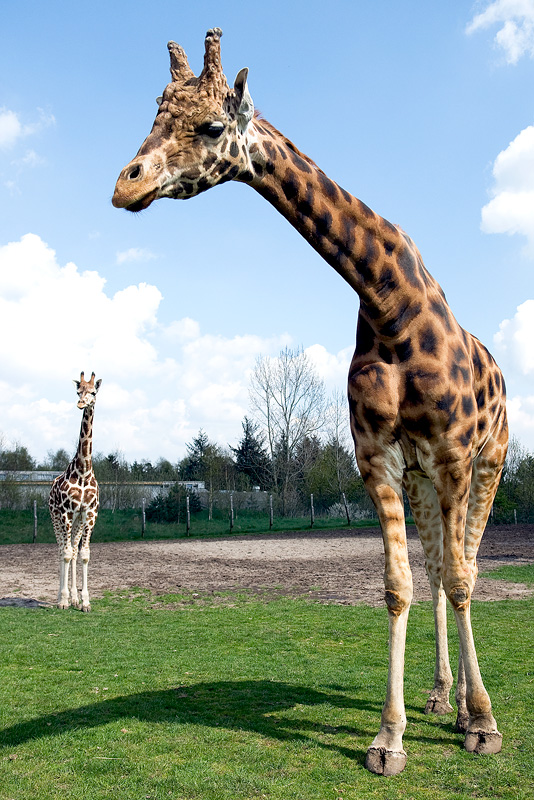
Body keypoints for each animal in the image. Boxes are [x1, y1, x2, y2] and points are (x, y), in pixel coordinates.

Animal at [111, 31, 508, 776]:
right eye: (154, 115)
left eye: (212, 126)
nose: (126, 183)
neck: (388, 303)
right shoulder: (380, 459)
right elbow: (399, 584)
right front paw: (389, 739)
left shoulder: (452, 456)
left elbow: (467, 578)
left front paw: (483, 725)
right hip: (423, 480)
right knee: (437, 569)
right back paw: (440, 696)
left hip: (488, 464)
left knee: (463, 566)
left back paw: (466, 707)